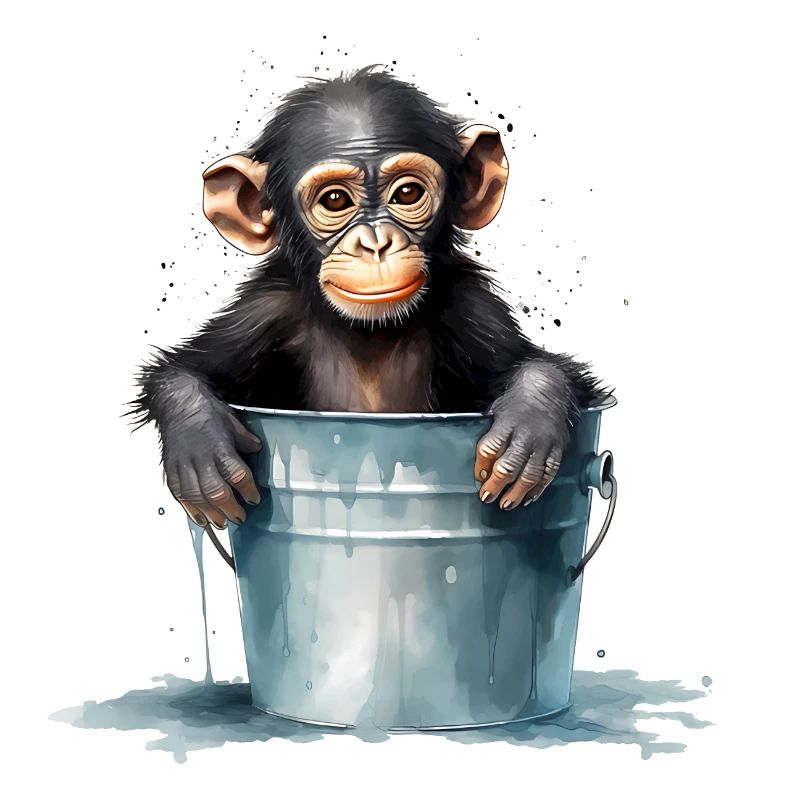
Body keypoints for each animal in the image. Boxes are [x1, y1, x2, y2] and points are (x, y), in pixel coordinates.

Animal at [133, 67, 607, 532]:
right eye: (335, 200)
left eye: (407, 195)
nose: (376, 244)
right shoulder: (263, 312)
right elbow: (187, 369)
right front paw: (199, 444)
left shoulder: (472, 309)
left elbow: (538, 365)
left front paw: (529, 421)